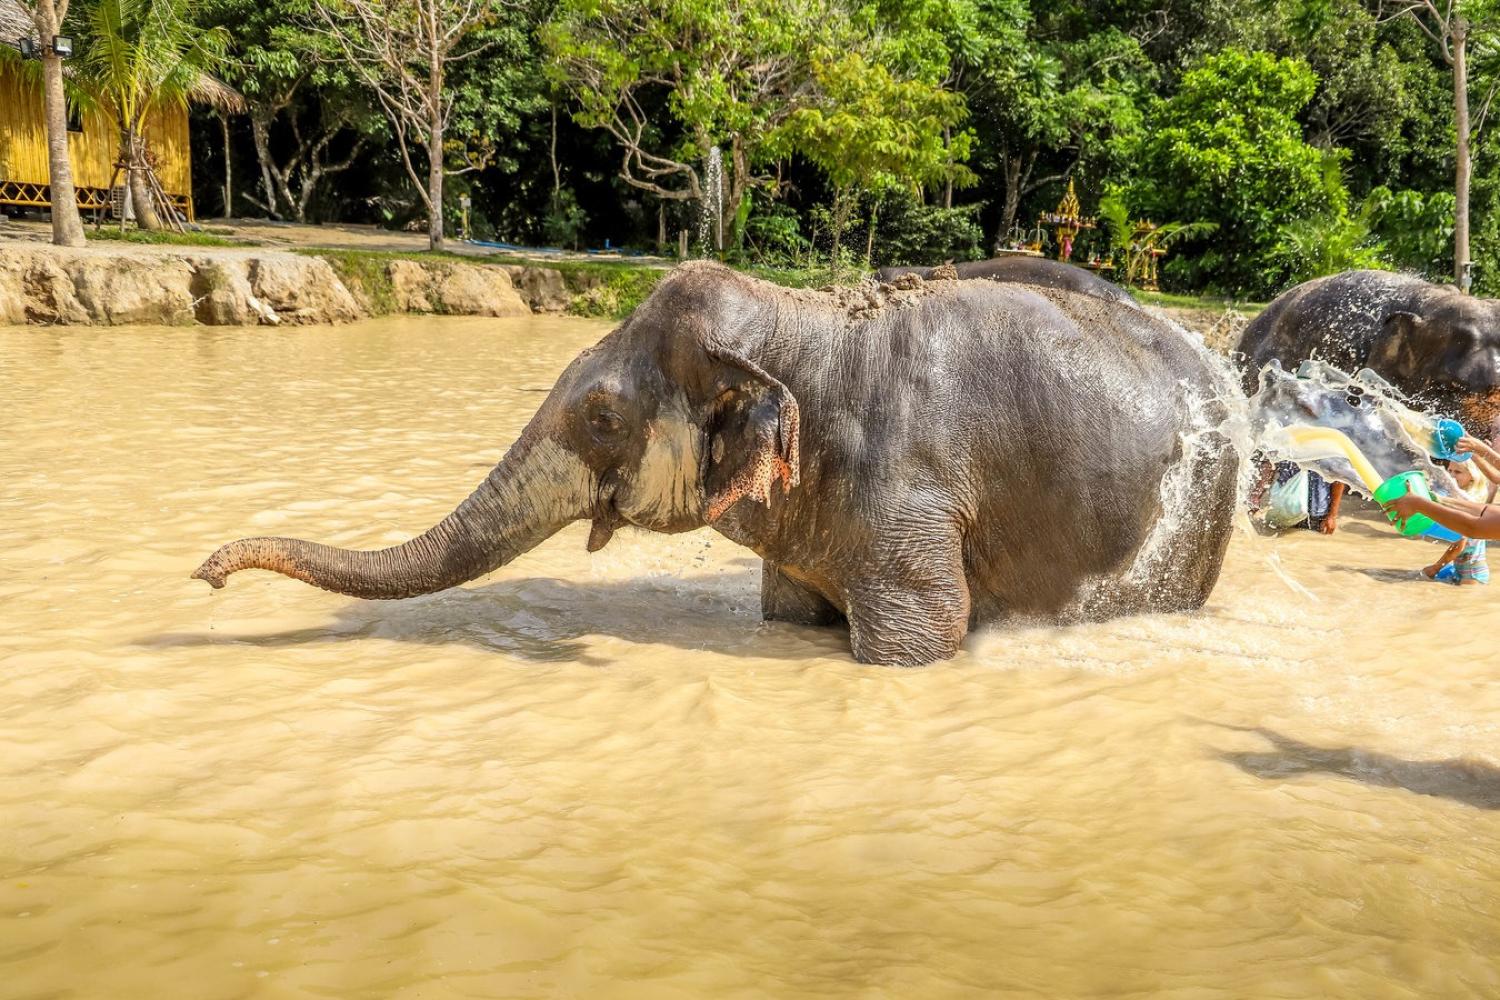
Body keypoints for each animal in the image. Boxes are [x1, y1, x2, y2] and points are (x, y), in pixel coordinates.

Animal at [193, 262, 1239, 666]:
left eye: (601, 416)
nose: (206, 574)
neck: (806, 322)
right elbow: (787, 615)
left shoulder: (913, 497)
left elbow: (922, 638)